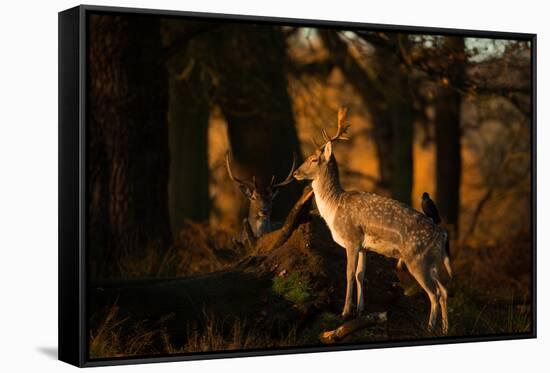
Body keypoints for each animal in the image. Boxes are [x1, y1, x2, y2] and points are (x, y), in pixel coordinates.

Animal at [294, 107, 452, 334]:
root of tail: (443, 234)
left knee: (435, 293)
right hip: (432, 261)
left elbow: (349, 273)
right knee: (445, 290)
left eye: (314, 159)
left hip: (417, 258)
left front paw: (345, 312)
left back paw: (430, 328)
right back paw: (446, 329)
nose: (296, 173)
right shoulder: (364, 246)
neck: (334, 208)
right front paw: (360, 311)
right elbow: (361, 274)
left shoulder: (351, 238)